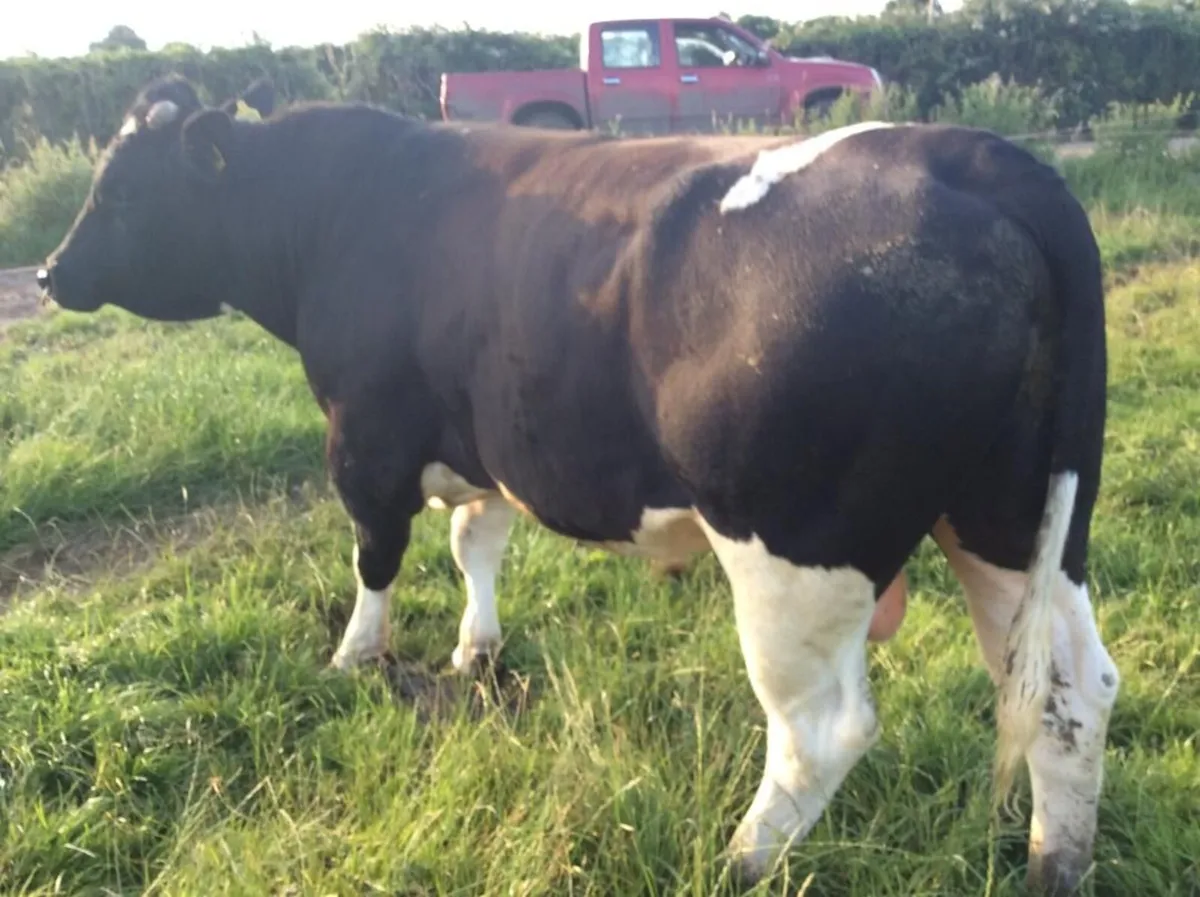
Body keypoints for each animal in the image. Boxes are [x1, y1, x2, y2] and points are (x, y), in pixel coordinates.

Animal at [37, 73, 1119, 894]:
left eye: (122, 192)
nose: (47, 273)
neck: (341, 211)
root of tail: (979, 157)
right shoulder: (486, 444)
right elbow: (474, 541)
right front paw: (476, 649)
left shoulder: (365, 439)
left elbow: (375, 555)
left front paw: (355, 658)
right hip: (1015, 523)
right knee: (1070, 693)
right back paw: (1052, 864)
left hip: (791, 548)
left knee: (822, 730)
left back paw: (738, 860)